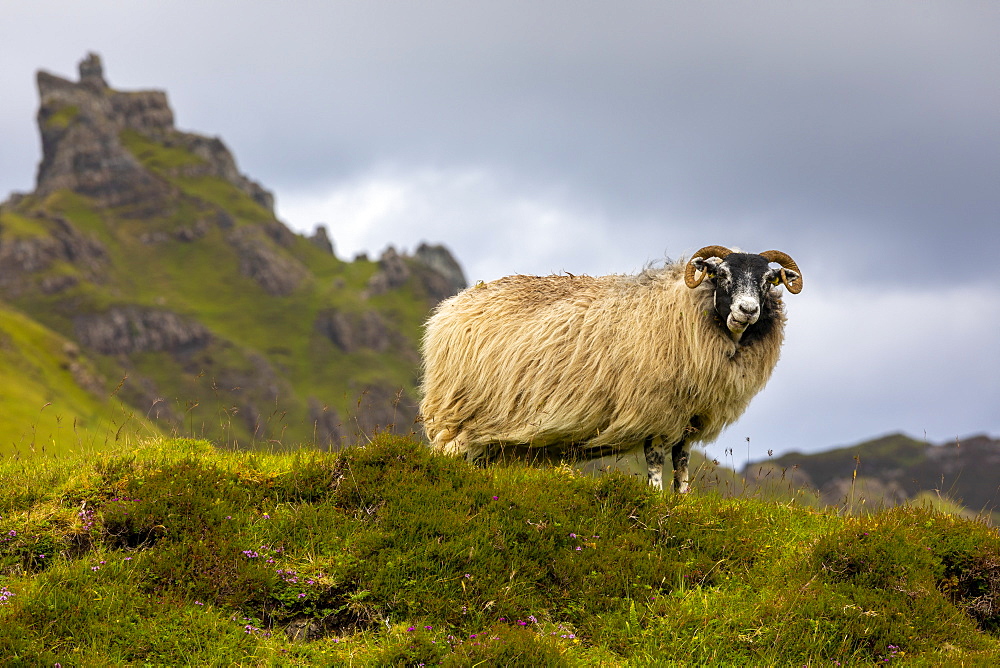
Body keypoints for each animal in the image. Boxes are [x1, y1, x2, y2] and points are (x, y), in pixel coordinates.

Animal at [418, 245, 800, 490]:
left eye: (768, 280)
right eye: (721, 274)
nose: (748, 310)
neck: (685, 309)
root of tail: (450, 306)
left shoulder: (688, 420)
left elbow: (682, 468)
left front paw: (681, 502)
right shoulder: (655, 413)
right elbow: (655, 464)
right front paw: (654, 499)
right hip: (455, 418)